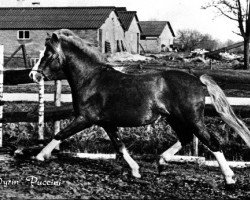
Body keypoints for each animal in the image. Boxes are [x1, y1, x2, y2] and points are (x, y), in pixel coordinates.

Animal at [29, 29, 250, 186]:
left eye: (48, 53)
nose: (34, 75)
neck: (91, 79)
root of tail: (198, 80)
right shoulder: (107, 123)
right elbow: (120, 146)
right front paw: (136, 171)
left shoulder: (85, 118)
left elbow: (60, 134)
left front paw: (39, 156)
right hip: (174, 118)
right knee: (186, 138)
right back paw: (161, 161)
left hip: (193, 119)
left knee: (212, 142)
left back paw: (229, 178)